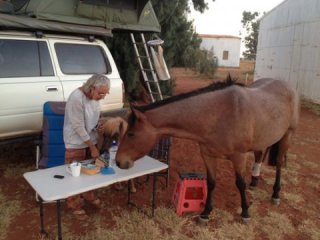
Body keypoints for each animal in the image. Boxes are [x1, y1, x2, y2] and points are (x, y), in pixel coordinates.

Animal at [115, 76, 300, 221]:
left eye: (131, 134)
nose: (118, 161)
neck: (218, 115)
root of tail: (287, 85)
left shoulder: (239, 156)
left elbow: (239, 183)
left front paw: (245, 212)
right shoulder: (208, 155)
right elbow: (211, 183)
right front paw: (205, 213)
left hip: (288, 135)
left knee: (278, 164)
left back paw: (275, 194)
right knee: (260, 155)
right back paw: (254, 182)